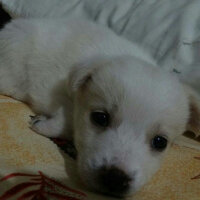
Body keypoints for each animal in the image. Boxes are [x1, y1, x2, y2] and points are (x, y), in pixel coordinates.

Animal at [0, 18, 199, 197]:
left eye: (160, 142)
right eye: (100, 118)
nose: (116, 179)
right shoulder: (63, 94)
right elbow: (67, 120)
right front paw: (42, 123)